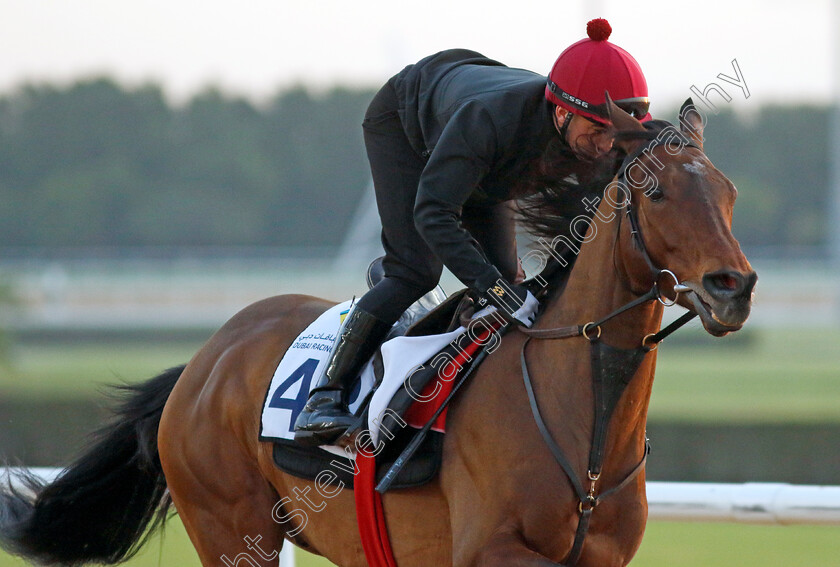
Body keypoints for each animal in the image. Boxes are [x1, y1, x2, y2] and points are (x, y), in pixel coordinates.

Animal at [0, 98, 756, 567]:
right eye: (656, 191)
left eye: (728, 192)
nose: (734, 287)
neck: (584, 424)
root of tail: (203, 361)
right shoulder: (487, 550)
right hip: (229, 525)